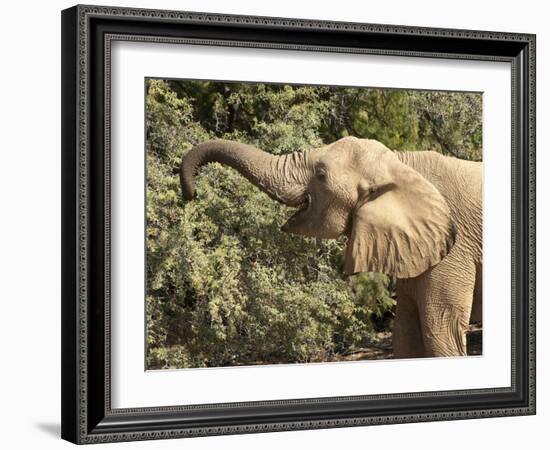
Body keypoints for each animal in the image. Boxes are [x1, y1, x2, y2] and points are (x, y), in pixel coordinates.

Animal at [180, 137, 484, 358]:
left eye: (321, 175)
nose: (190, 194)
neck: (402, 162)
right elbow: (406, 334)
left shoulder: (454, 249)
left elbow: (440, 331)